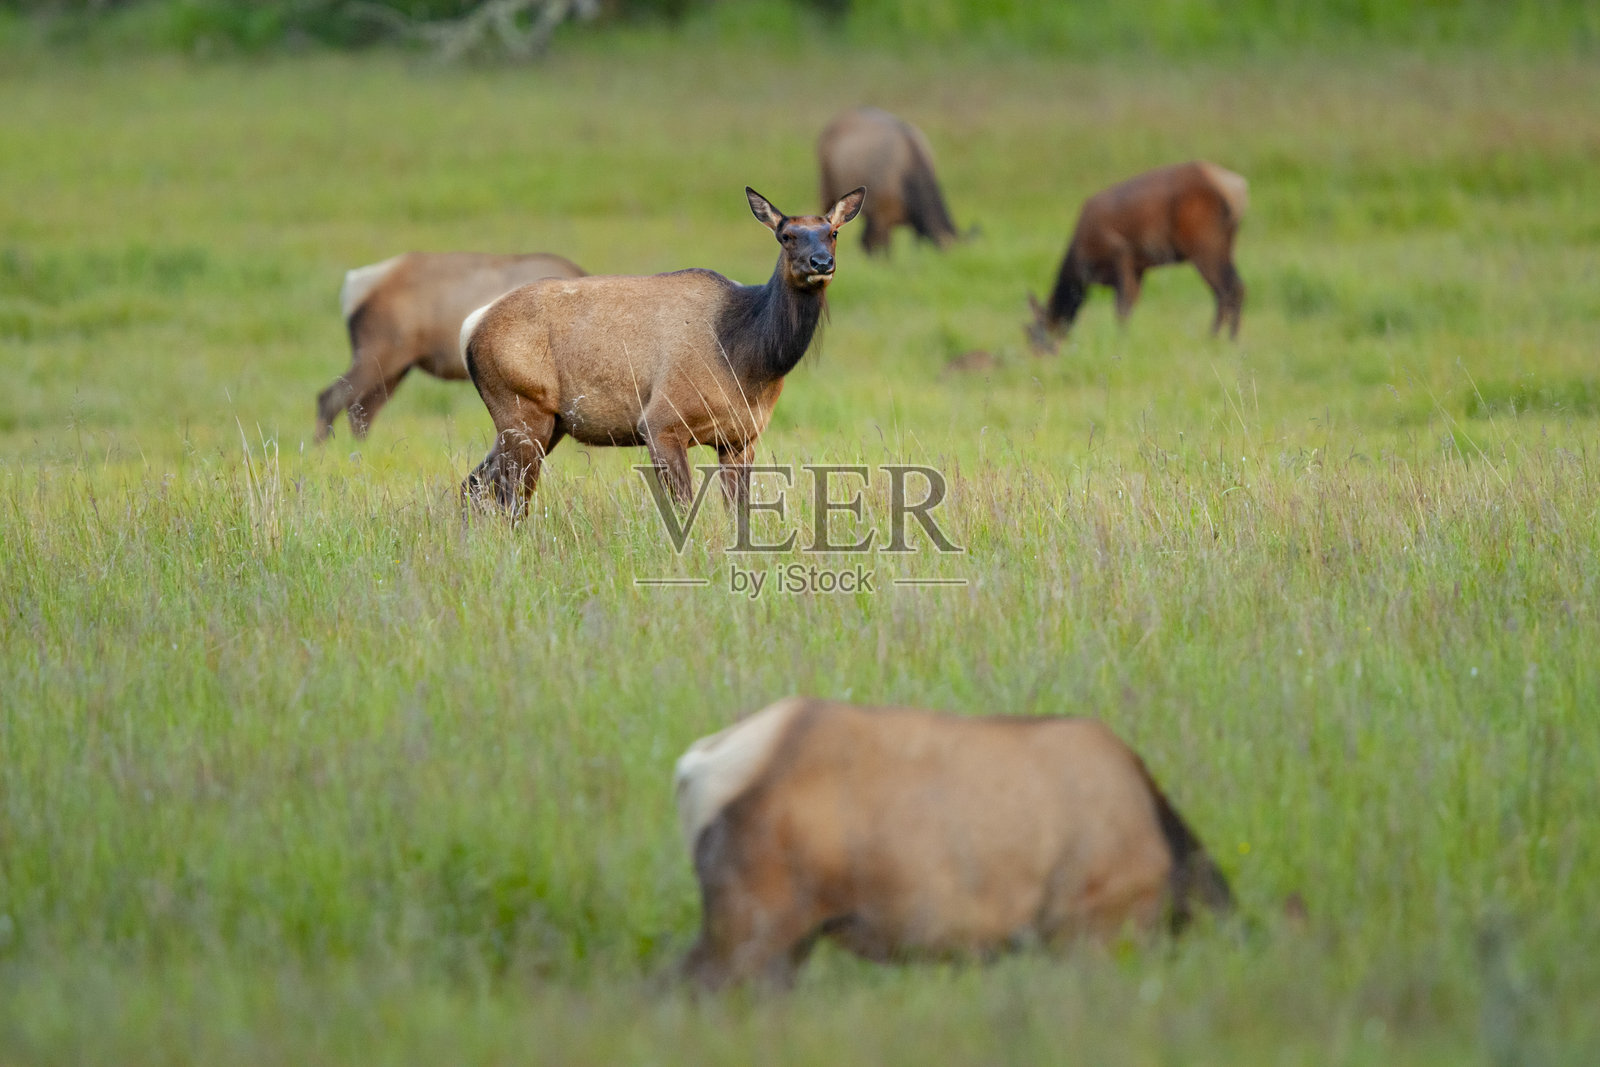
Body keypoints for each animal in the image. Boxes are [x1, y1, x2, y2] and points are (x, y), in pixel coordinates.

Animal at [459, 185, 865, 514]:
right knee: (511, 499)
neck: (748, 361)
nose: (821, 262)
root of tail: (472, 326)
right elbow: (683, 508)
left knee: (473, 486)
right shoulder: (661, 422)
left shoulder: (741, 437)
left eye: (833, 233)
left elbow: (739, 511)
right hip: (522, 407)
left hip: (542, 422)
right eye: (786, 235)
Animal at [1026, 161, 1248, 351]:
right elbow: (1132, 303)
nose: (1039, 355)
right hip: (1228, 244)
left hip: (1204, 243)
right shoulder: (1138, 267)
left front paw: (1120, 341)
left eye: (1034, 334)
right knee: (1237, 286)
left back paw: (1216, 339)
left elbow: (1122, 306)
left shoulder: (1120, 251)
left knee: (1226, 289)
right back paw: (1229, 339)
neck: (1080, 265)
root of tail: (1237, 189)